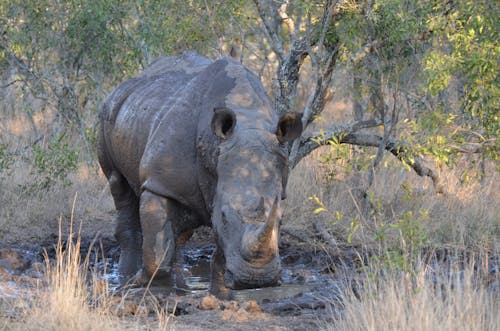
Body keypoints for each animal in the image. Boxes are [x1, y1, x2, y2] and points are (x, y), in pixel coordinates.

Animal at [96, 51, 300, 294]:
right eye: (225, 216)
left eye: (281, 220)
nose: (257, 280)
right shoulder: (159, 183)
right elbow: (158, 252)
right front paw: (147, 287)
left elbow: (220, 249)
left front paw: (220, 294)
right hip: (107, 115)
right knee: (119, 185)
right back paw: (126, 281)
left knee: (180, 231)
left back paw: (180, 286)